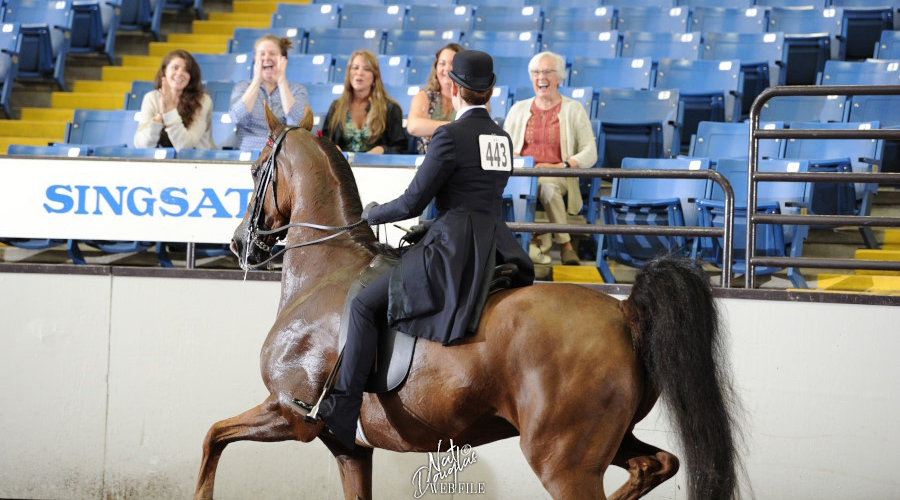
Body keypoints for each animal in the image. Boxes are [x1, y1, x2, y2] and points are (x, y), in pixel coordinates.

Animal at [193, 106, 740, 500]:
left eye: (254, 170)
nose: (241, 244)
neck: (324, 272)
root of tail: (623, 311)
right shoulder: (351, 449)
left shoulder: (290, 415)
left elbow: (212, 436)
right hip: (610, 440)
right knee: (656, 463)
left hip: (564, 461)